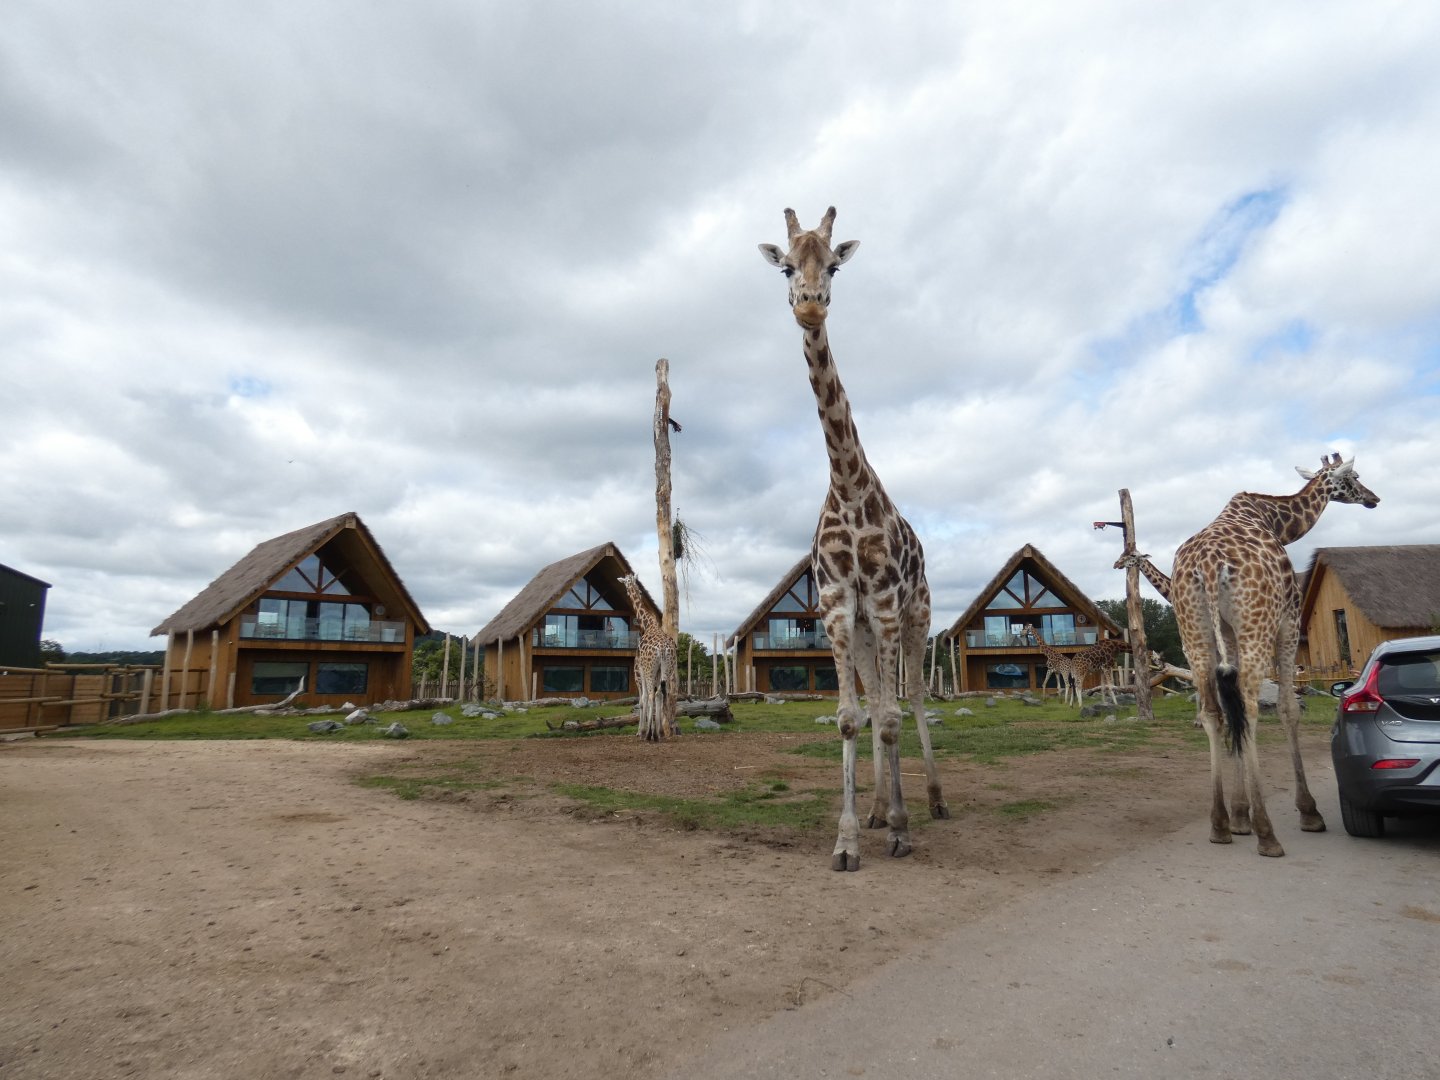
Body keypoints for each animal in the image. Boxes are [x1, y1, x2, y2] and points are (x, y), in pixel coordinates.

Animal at [619, 574, 678, 742]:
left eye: (625, 584)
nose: (630, 592)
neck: (647, 624)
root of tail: (663, 649)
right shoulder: (657, 671)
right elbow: (656, 696)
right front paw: (654, 730)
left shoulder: (639, 670)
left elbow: (643, 698)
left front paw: (641, 731)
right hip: (668, 668)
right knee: (661, 694)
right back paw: (660, 733)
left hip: (648, 670)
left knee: (651, 695)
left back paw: (650, 734)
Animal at [759, 206, 948, 871]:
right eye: (787, 266)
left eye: (835, 266)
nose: (811, 306)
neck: (845, 485)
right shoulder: (840, 606)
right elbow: (849, 717)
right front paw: (847, 840)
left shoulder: (887, 605)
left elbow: (891, 716)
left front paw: (901, 830)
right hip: (868, 630)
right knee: (876, 706)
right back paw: (874, 810)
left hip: (917, 617)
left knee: (911, 701)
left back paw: (933, 803)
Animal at [1172, 453, 1379, 857]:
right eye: (1354, 477)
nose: (1373, 498)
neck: (1274, 521)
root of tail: (1208, 568)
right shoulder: (1288, 622)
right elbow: (1287, 708)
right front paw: (1307, 812)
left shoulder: (1229, 634)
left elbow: (1230, 711)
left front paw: (1240, 817)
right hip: (1258, 625)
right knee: (1251, 704)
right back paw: (1267, 833)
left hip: (1195, 634)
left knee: (1214, 710)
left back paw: (1219, 824)